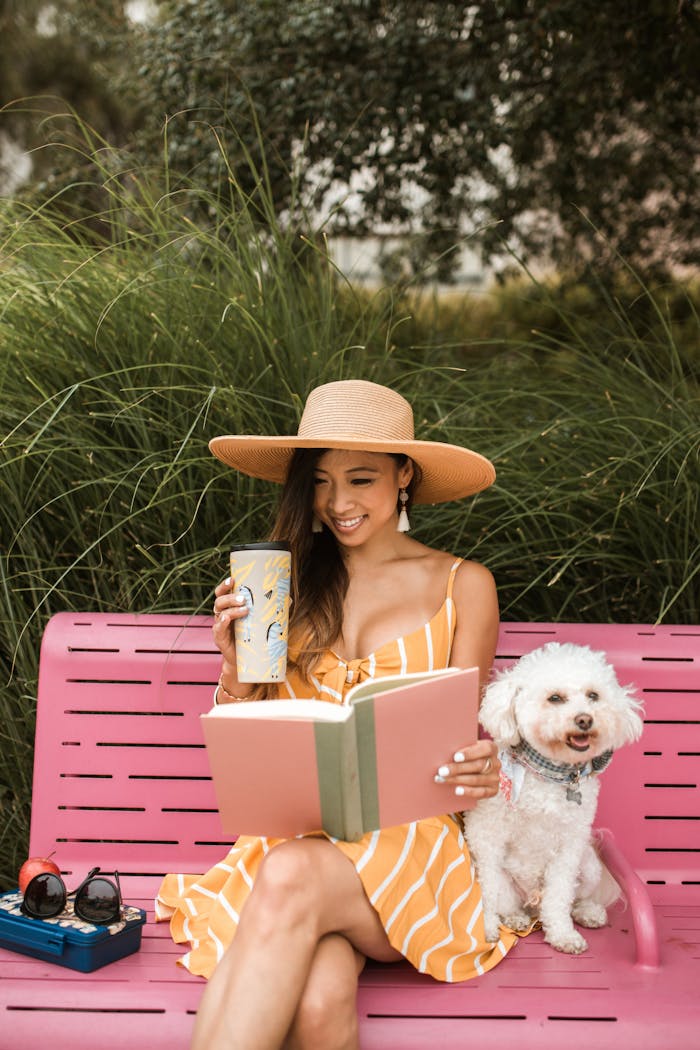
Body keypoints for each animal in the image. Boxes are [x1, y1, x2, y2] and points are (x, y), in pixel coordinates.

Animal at [465, 642, 646, 957]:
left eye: (593, 695)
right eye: (555, 698)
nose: (584, 719)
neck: (550, 775)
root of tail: (532, 905)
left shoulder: (570, 845)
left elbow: (560, 894)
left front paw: (563, 934)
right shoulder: (487, 836)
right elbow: (487, 892)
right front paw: (485, 928)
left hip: (589, 865)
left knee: (573, 898)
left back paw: (588, 912)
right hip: (509, 883)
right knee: (506, 901)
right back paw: (515, 917)